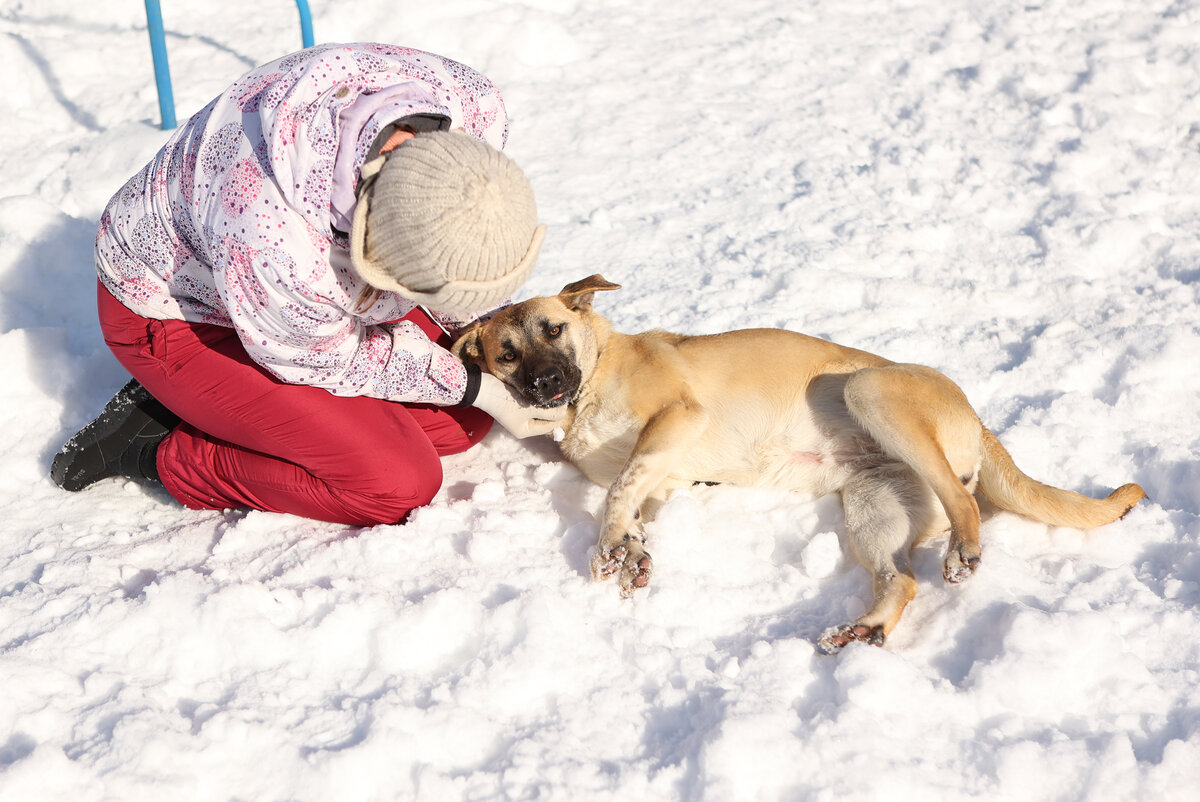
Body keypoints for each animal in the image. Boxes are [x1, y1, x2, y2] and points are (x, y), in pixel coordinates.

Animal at [451, 276, 1142, 653]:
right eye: (506, 353)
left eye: (553, 329)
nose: (544, 383)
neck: (591, 386)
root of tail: (980, 422)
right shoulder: (666, 473)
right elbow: (634, 500)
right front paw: (631, 554)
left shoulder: (676, 419)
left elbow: (618, 489)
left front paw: (609, 546)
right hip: (875, 507)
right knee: (903, 580)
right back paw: (865, 630)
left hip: (872, 391)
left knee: (965, 499)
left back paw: (963, 552)